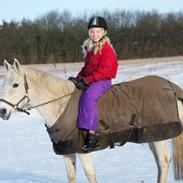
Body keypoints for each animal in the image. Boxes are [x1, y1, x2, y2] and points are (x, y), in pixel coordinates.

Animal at [0, 59, 183, 183]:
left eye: (15, 85)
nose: (2, 111)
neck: (62, 105)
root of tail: (170, 86)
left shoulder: (83, 151)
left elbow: (91, 176)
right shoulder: (67, 151)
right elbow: (71, 177)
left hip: (159, 137)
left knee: (163, 163)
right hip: (153, 137)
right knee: (160, 164)